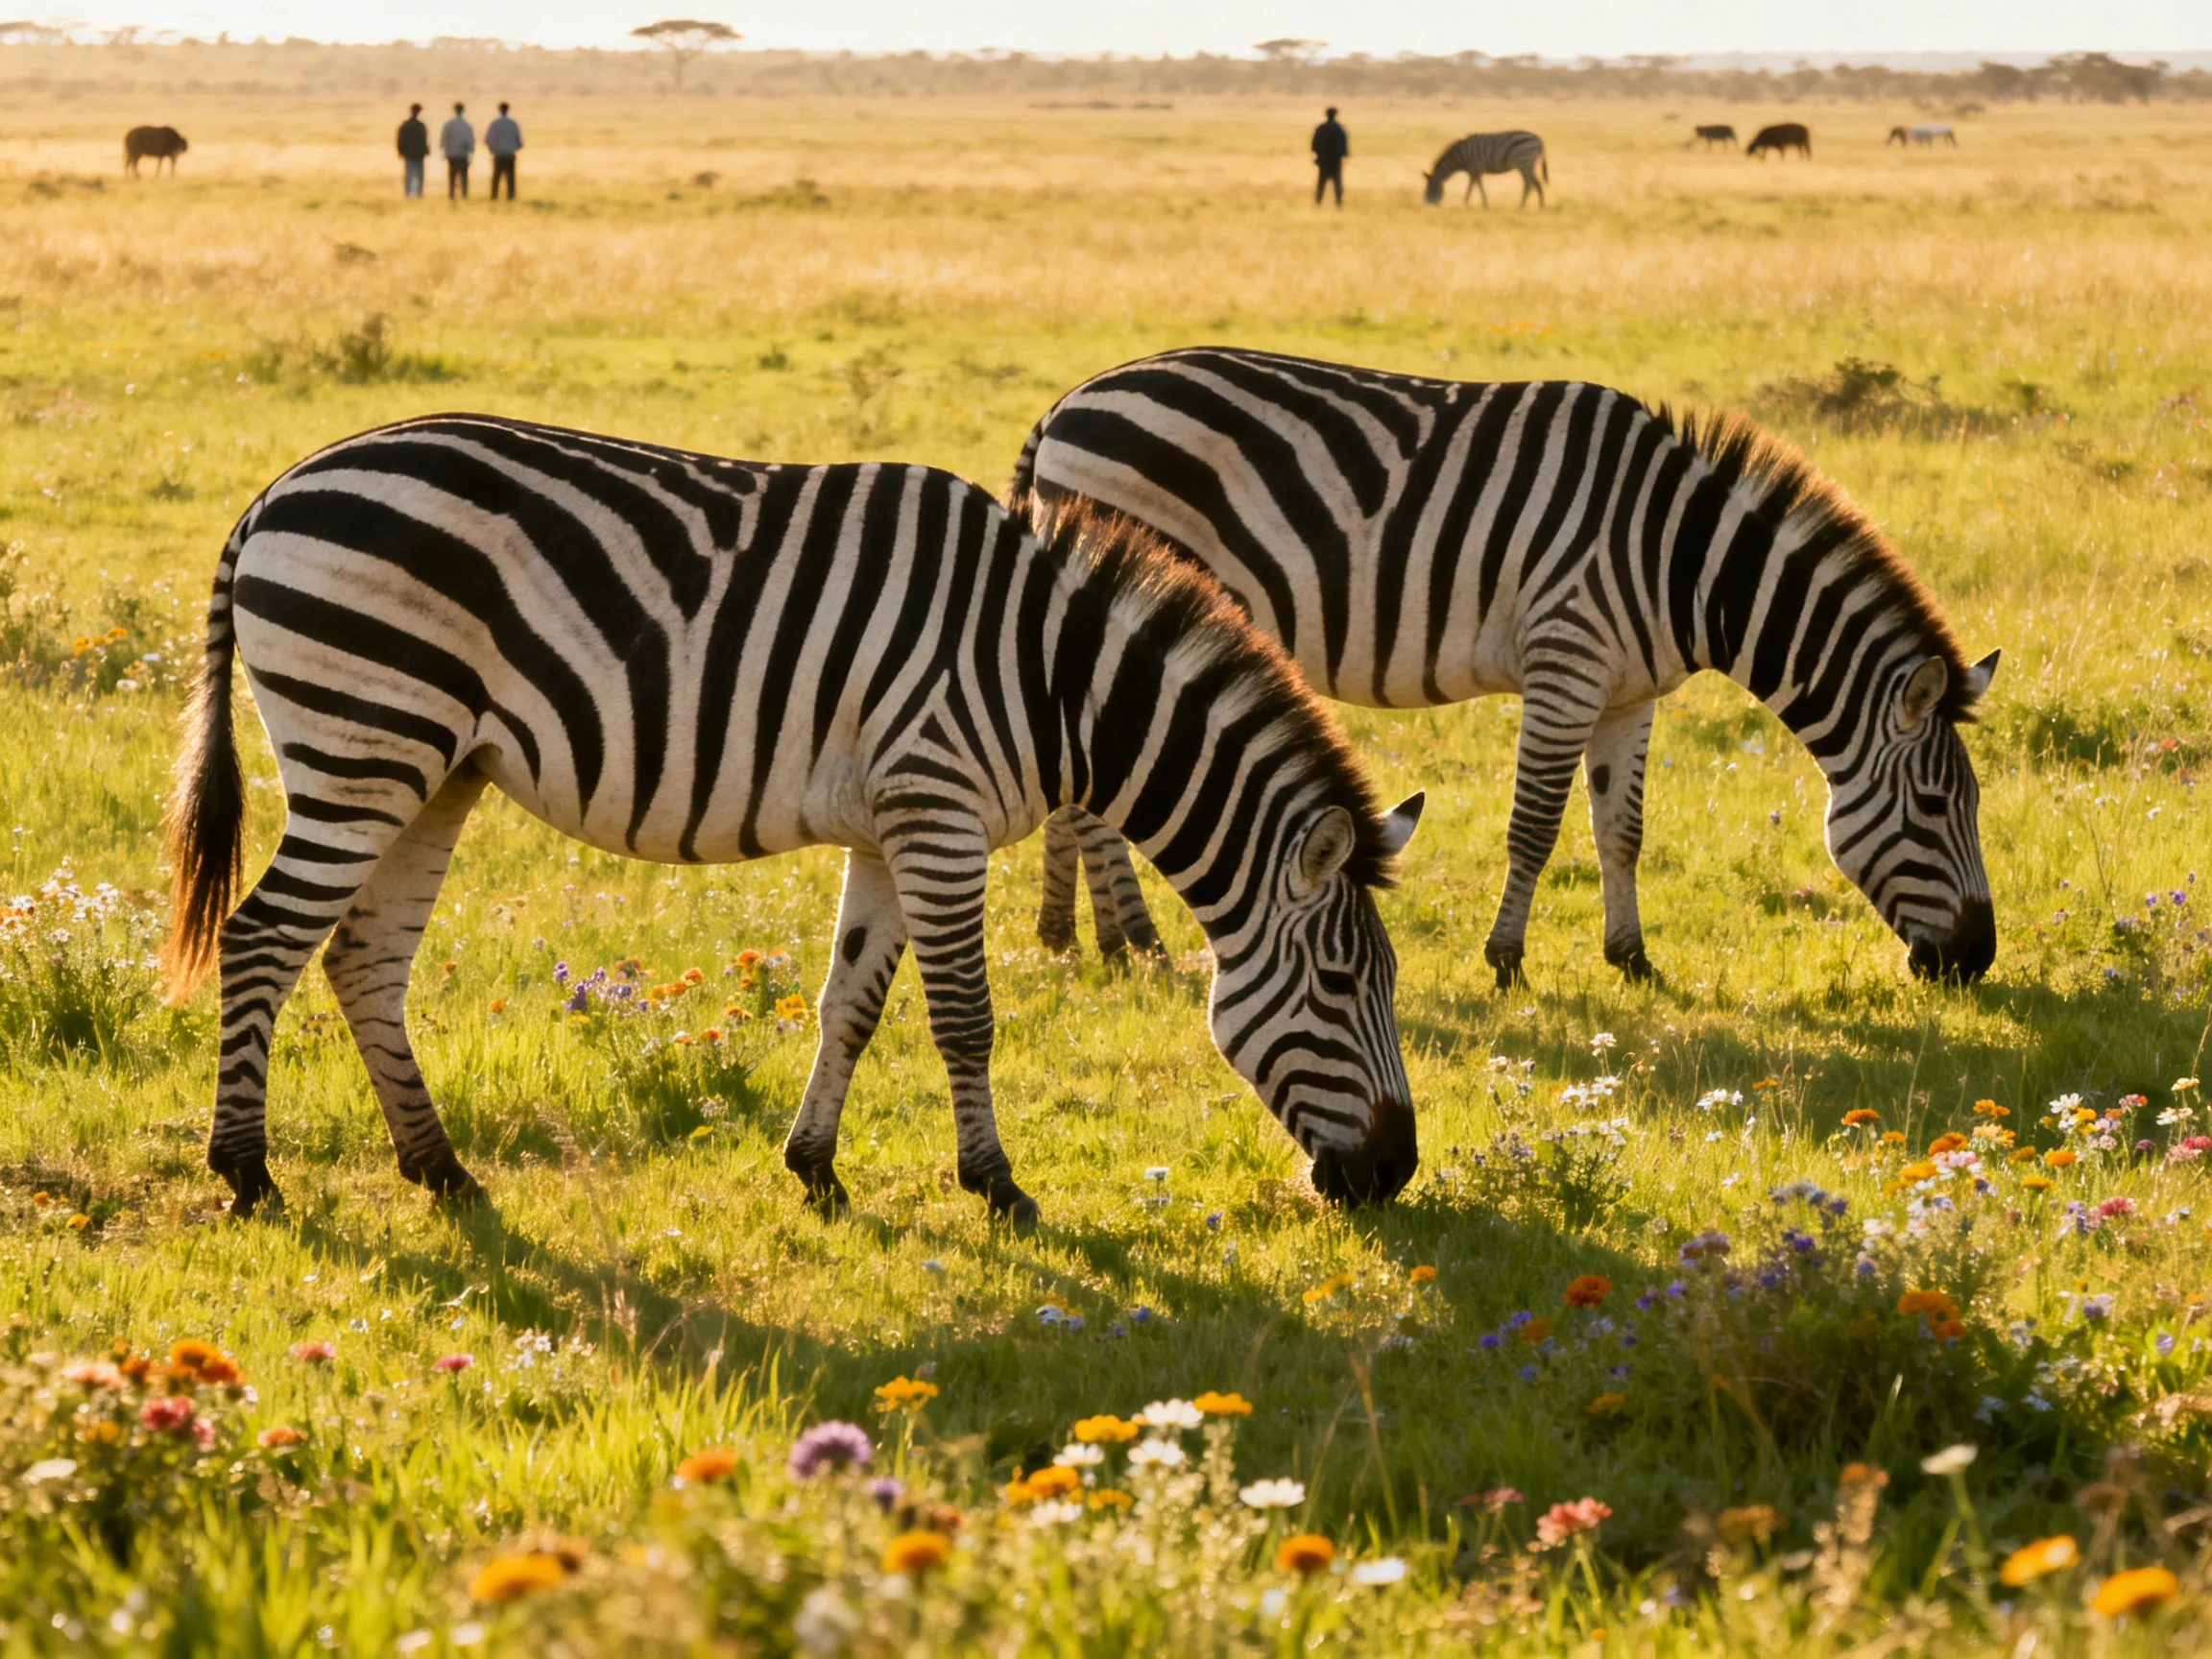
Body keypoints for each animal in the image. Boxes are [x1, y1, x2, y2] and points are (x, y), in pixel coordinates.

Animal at [162, 414, 1427, 1223]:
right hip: (364, 739)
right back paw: (247, 1174)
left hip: (434, 768)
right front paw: (998, 1189)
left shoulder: (890, 825)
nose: (1397, 1175)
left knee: (363, 956)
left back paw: (440, 1169)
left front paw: (814, 1169)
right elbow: (964, 1019)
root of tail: (276, 491)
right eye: (1338, 986)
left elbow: (849, 1005)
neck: (1055, 679)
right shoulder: (938, 810)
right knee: (264, 937)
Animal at [1007, 348, 2001, 989]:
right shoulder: (1567, 660)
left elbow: (1619, 829)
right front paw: (1507, 961)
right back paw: (1133, 941)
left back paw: (1067, 934)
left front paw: (1631, 957)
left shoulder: (1629, 694)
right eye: (1935, 806)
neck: (1682, 560)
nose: (1976, 962)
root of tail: (1068, 401)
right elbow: (1535, 827)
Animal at [1422, 131, 1547, 208]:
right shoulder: (1473, 172)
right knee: (1535, 184)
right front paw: (1467, 203)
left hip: (1525, 162)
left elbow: (1478, 187)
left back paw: (1523, 207)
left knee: (1530, 185)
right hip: (1526, 165)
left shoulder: (1476, 169)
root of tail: (1539, 139)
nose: (1427, 204)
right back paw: (1539, 206)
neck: (1461, 156)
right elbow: (1472, 187)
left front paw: (1481, 204)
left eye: (1430, 188)